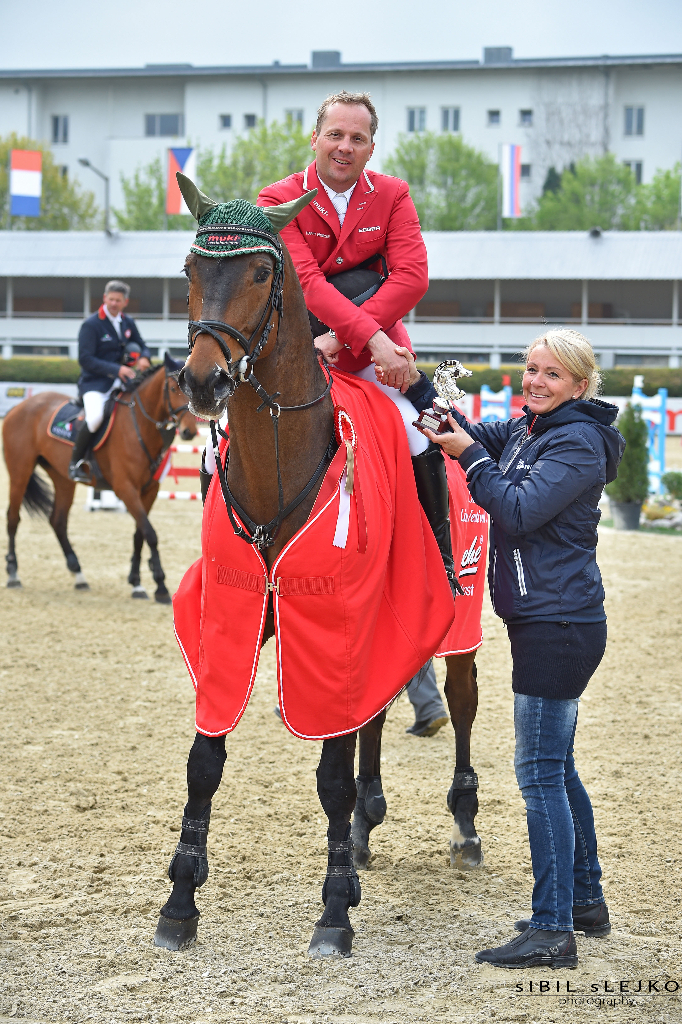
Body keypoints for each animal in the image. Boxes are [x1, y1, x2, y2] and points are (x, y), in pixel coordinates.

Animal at [3, 356, 196, 602]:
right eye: (173, 388)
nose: (189, 432)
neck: (140, 426)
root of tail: (20, 406)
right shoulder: (126, 489)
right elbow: (150, 533)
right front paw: (160, 586)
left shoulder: (149, 490)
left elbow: (140, 534)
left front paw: (137, 582)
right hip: (20, 471)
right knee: (13, 518)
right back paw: (13, 574)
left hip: (62, 478)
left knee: (58, 521)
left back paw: (79, 575)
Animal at [155, 178, 477, 958]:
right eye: (190, 269)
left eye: (260, 273)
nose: (203, 380)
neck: (278, 468)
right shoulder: (238, 617)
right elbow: (204, 760)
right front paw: (180, 901)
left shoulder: (332, 619)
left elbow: (330, 773)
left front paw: (333, 910)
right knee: (375, 713)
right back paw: (364, 829)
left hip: (457, 625)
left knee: (460, 704)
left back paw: (463, 825)